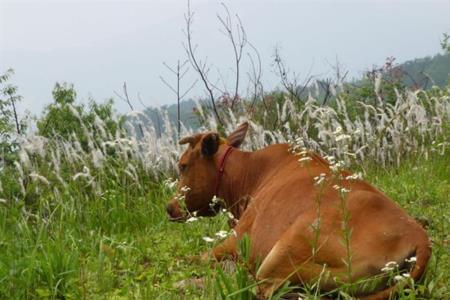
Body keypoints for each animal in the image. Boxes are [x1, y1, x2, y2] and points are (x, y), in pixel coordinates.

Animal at [165, 122, 428, 300]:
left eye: (183, 166)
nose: (169, 207)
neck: (248, 174)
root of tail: (419, 236)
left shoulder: (236, 238)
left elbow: (194, 257)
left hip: (286, 247)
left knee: (261, 287)